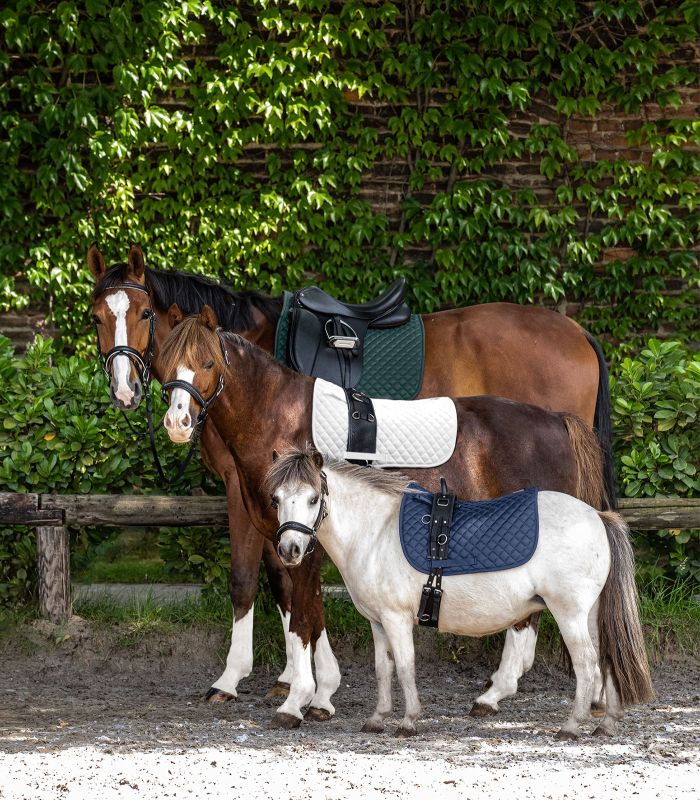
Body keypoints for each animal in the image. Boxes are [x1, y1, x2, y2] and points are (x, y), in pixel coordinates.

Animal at [88, 242, 614, 710]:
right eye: (96, 317)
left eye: (144, 314)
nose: (128, 393)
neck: (276, 406)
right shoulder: (264, 506)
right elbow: (278, 585)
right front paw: (290, 682)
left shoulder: (260, 501)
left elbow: (284, 588)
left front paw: (293, 685)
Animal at [267, 447, 653, 739]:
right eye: (276, 499)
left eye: (313, 498)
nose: (289, 550)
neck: (376, 530)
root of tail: (598, 516)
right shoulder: (377, 623)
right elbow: (382, 669)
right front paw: (377, 719)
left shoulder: (396, 619)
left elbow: (405, 667)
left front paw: (408, 721)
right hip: (591, 616)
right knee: (607, 658)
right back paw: (606, 724)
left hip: (570, 615)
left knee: (587, 664)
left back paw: (571, 726)